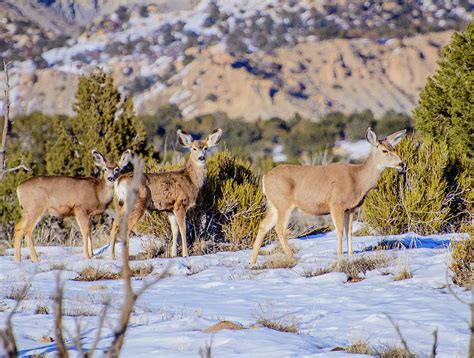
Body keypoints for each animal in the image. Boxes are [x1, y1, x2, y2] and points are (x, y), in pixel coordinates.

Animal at [110, 127, 223, 258]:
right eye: (194, 148)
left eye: (205, 148)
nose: (201, 158)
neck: (190, 180)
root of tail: (119, 181)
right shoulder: (180, 204)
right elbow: (183, 229)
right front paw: (185, 254)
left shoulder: (170, 209)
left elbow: (175, 230)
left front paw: (174, 254)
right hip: (137, 203)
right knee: (126, 228)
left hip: (118, 204)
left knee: (114, 226)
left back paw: (112, 257)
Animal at [250, 128, 406, 266]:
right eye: (385, 150)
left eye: (393, 148)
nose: (401, 164)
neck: (357, 179)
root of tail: (264, 177)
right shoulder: (336, 204)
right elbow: (339, 231)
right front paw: (340, 256)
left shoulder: (350, 208)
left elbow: (349, 231)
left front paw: (350, 256)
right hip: (284, 204)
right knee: (279, 229)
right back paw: (292, 258)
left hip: (274, 205)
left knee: (263, 225)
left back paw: (252, 262)